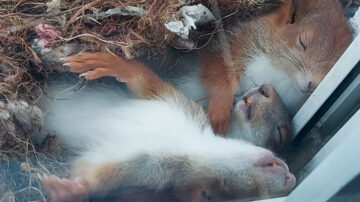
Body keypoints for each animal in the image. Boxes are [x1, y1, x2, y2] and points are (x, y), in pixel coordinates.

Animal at [38, 52, 296, 201]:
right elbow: (144, 81)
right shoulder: (178, 104)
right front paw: (112, 63)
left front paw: (69, 192)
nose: (291, 179)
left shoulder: (143, 170)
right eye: (281, 133)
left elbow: (92, 177)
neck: (192, 143)